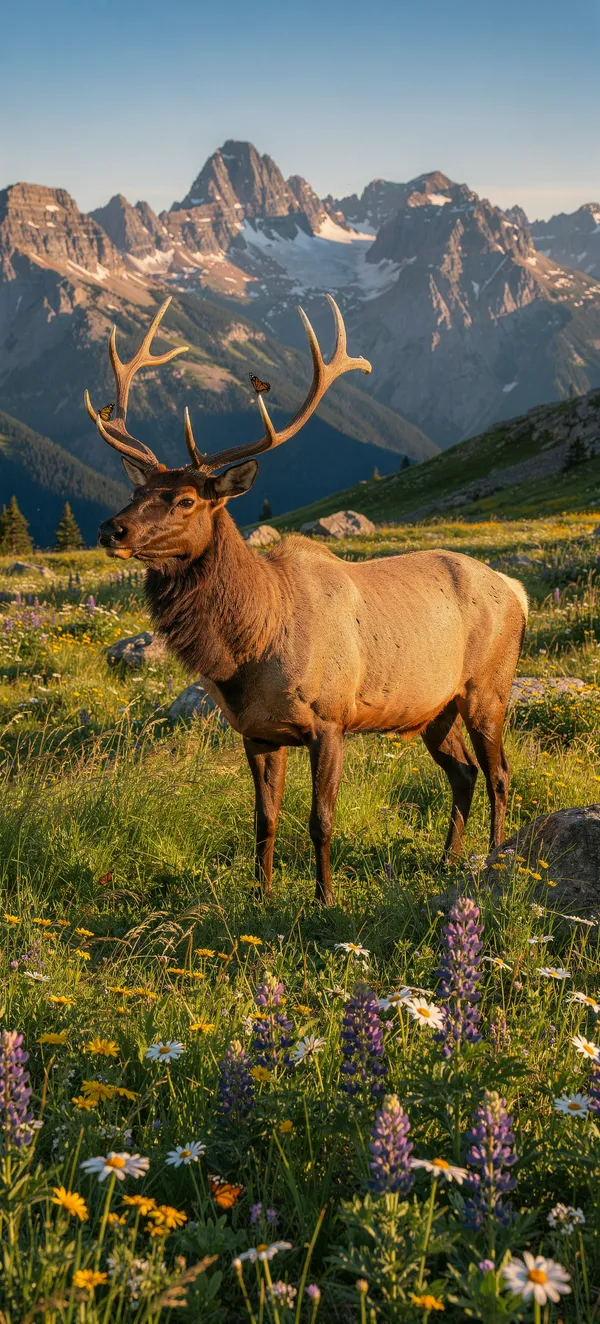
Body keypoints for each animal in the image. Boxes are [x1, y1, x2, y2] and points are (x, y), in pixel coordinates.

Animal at [85, 295, 528, 906]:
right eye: (136, 490)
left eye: (186, 500)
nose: (112, 528)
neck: (248, 650)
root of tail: (517, 591)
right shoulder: (255, 732)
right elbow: (264, 819)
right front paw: (261, 895)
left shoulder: (330, 718)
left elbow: (321, 819)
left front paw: (324, 899)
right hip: (431, 706)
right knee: (461, 772)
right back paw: (447, 859)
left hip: (488, 686)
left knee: (499, 773)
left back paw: (493, 859)